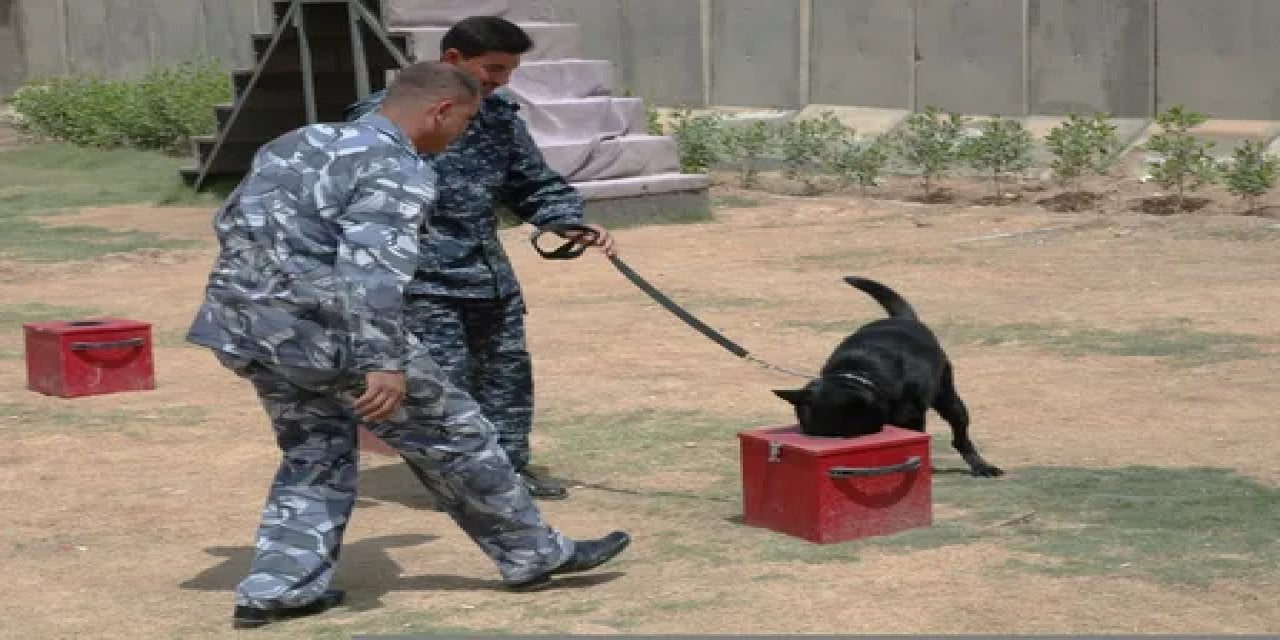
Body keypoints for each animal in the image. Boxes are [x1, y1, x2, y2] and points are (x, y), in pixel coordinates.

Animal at [773, 277, 1003, 478]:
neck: (860, 373)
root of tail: (903, 318)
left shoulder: (912, 418)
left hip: (949, 399)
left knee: (960, 435)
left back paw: (982, 466)